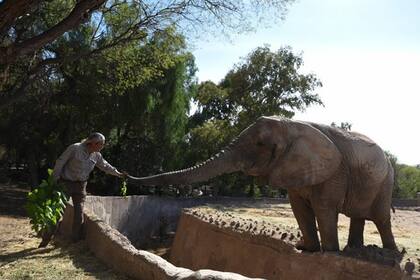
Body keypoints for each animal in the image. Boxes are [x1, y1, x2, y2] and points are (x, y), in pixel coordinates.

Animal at [128, 117, 398, 253]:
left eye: (259, 144)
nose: (124, 173)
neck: (294, 124)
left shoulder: (334, 172)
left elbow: (323, 207)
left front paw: (329, 253)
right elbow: (298, 208)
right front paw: (306, 248)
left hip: (386, 182)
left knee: (381, 217)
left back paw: (388, 253)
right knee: (359, 216)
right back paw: (355, 250)